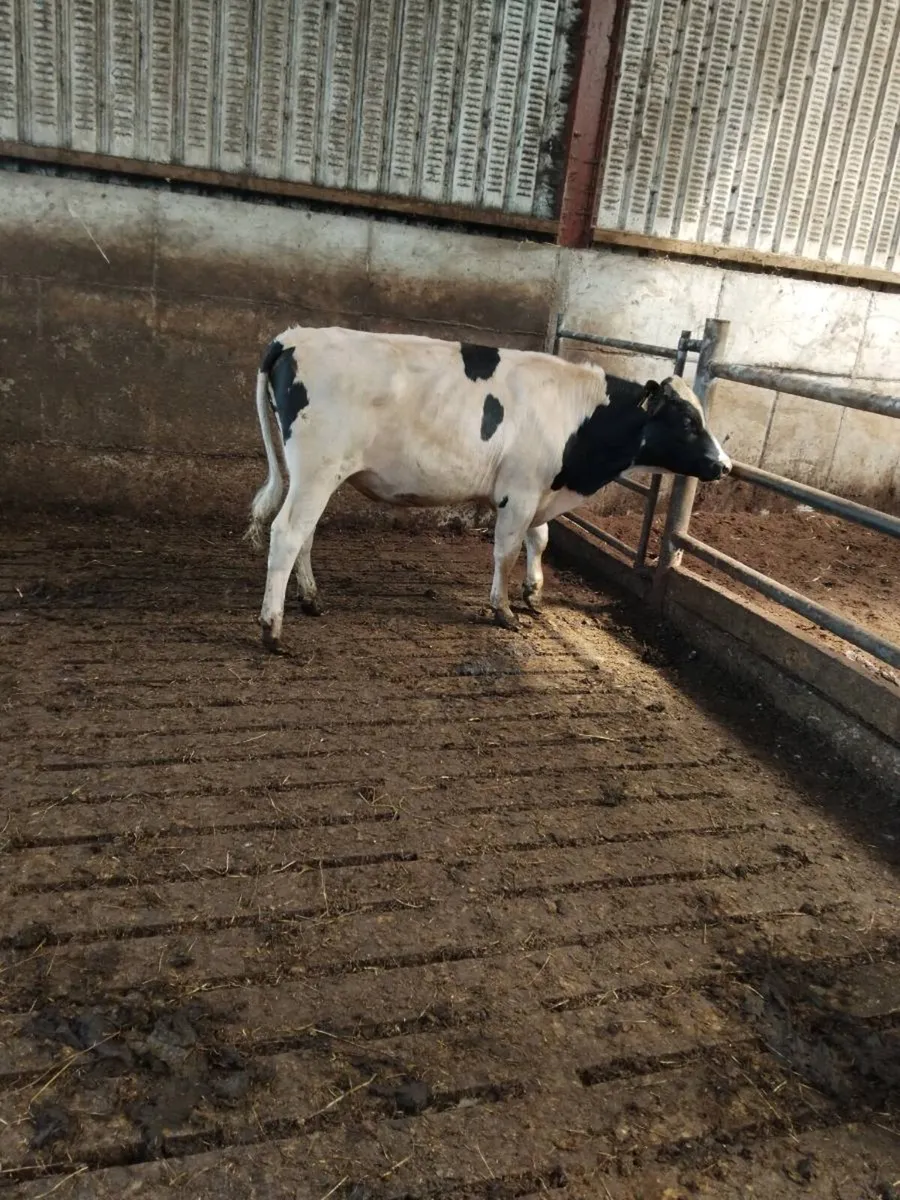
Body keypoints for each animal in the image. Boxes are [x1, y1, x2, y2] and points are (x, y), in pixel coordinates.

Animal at [247, 326, 731, 652]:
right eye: (688, 421)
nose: (724, 465)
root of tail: (294, 336)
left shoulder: (540, 490)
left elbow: (541, 539)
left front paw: (533, 592)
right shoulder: (519, 491)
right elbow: (507, 551)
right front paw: (503, 609)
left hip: (319, 476)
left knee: (305, 534)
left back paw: (311, 598)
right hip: (317, 469)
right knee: (287, 533)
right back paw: (272, 627)